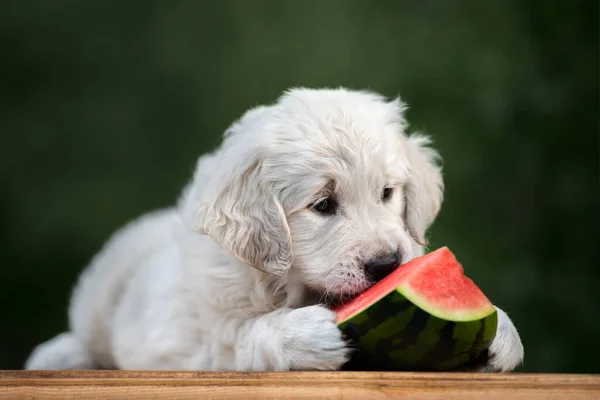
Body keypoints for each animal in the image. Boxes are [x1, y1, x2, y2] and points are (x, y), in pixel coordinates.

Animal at [24, 86, 520, 372]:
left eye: (388, 193)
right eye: (322, 205)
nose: (387, 265)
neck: (291, 285)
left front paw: (503, 333)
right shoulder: (207, 338)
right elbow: (246, 337)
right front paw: (305, 335)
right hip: (101, 290)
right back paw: (55, 356)